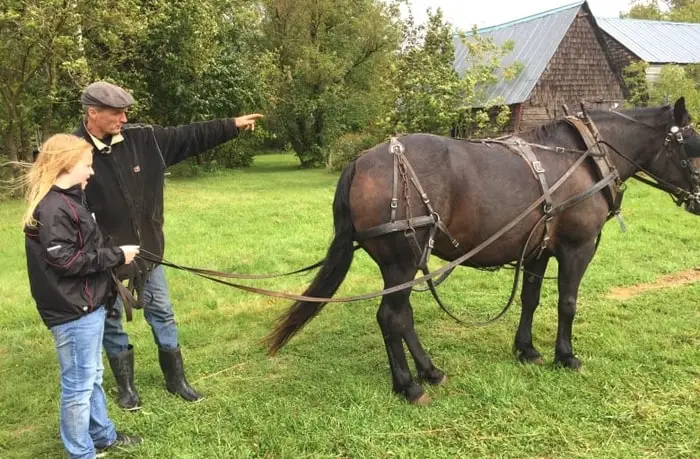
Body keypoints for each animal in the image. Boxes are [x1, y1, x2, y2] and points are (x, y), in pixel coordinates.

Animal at [265, 98, 700, 404]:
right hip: (401, 261)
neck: (585, 159)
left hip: (402, 265)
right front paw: (565, 356)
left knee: (403, 317)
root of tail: (360, 162)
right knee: (391, 317)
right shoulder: (577, 248)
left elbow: (530, 299)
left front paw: (527, 349)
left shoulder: (538, 250)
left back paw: (430, 371)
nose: (698, 201)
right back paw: (409, 386)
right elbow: (568, 303)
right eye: (692, 146)